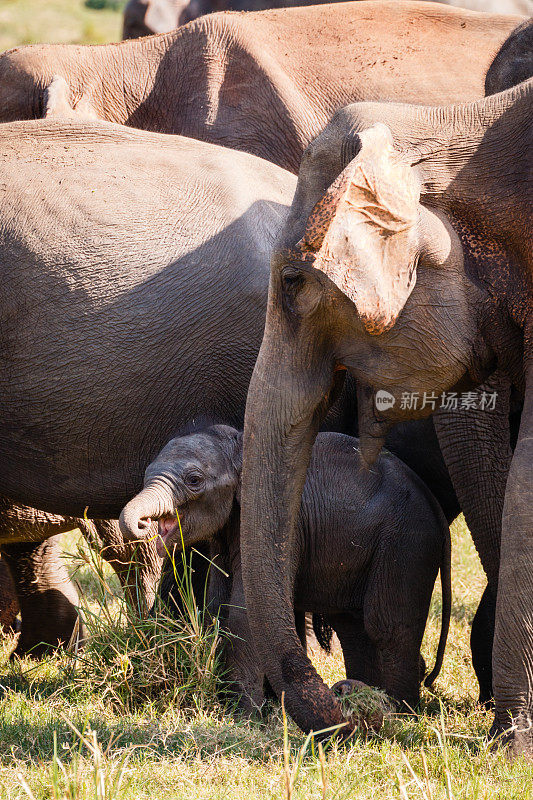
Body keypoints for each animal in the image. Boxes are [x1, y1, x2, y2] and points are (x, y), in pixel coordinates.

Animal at [119, 428, 448, 716]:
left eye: (194, 480)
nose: (144, 523)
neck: (239, 445)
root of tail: (434, 504)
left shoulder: (284, 529)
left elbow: (244, 614)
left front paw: (243, 718)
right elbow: (217, 605)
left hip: (407, 540)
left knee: (387, 626)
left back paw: (401, 714)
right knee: (353, 627)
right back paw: (366, 697)